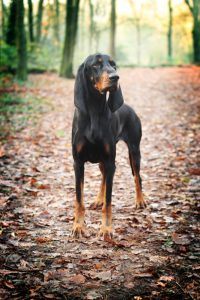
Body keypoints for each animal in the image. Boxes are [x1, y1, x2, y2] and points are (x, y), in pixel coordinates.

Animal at [71, 52, 145, 238]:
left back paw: (140, 200)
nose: (115, 77)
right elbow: (79, 199)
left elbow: (109, 201)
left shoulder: (110, 161)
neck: (94, 111)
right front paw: (78, 226)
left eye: (114, 65)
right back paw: (98, 199)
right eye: (96, 65)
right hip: (102, 161)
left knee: (137, 176)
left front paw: (106, 228)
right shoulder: (78, 163)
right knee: (104, 177)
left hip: (134, 151)